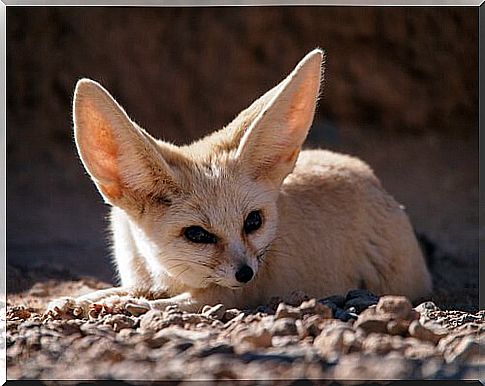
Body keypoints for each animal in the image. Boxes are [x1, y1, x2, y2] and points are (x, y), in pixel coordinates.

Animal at [46, 48, 432, 316]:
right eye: (197, 235)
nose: (246, 273)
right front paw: (77, 300)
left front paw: (124, 307)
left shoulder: (229, 294)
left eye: (253, 222)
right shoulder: (144, 280)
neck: (169, 275)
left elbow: (170, 304)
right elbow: (120, 292)